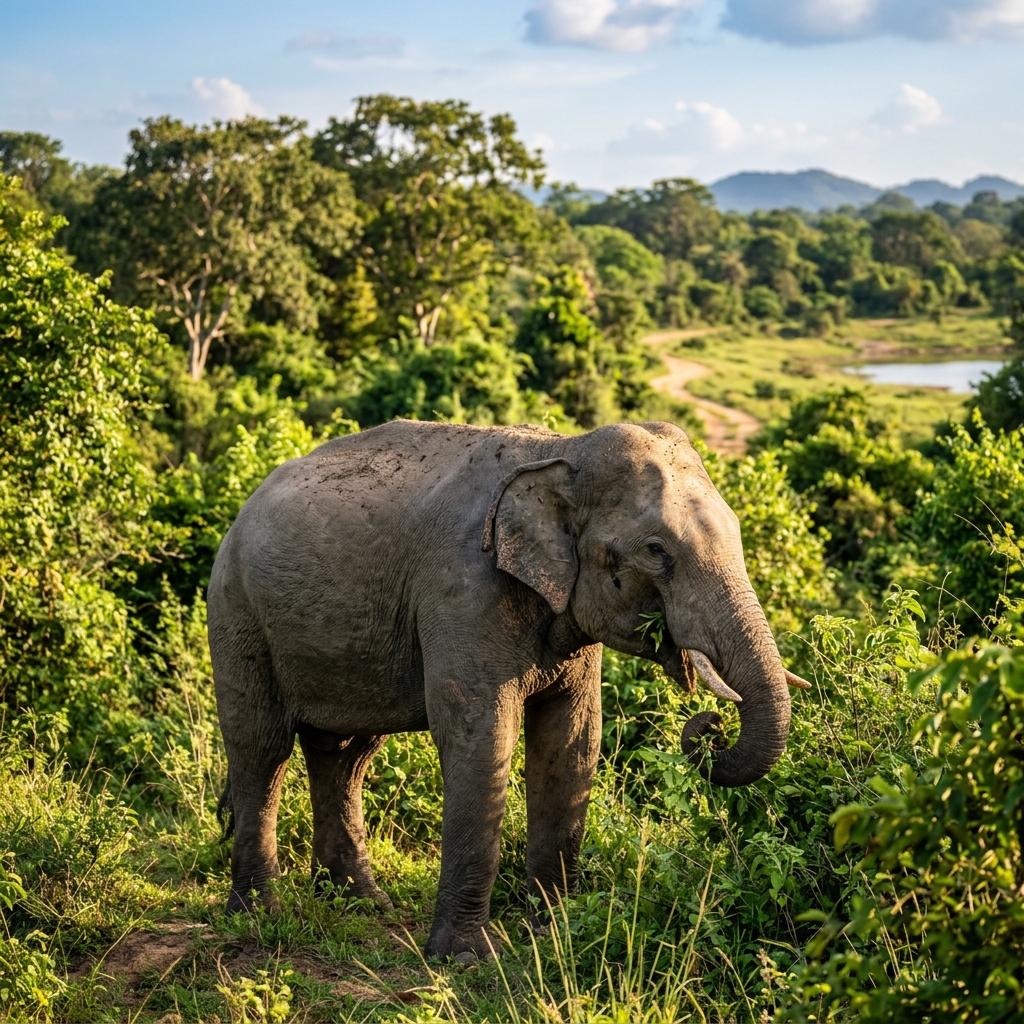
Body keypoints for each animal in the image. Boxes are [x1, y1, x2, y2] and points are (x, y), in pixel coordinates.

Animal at [208, 418, 808, 961]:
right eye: (657, 551)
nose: (709, 727)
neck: (563, 450)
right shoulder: (464, 590)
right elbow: (481, 740)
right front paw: (467, 958)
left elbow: (572, 741)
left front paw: (554, 932)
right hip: (236, 612)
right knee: (262, 748)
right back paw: (260, 915)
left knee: (346, 754)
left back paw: (361, 902)